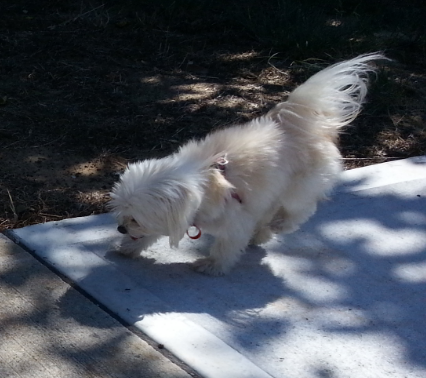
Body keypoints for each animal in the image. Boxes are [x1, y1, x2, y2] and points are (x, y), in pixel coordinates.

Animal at [108, 53, 384, 274]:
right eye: (123, 215)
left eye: (135, 219)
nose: (120, 228)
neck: (202, 179)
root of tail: (295, 123)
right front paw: (129, 247)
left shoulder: (234, 220)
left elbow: (226, 245)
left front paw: (213, 266)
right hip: (268, 192)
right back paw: (261, 233)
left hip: (299, 187)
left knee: (300, 209)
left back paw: (279, 224)